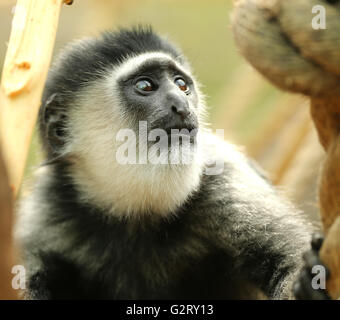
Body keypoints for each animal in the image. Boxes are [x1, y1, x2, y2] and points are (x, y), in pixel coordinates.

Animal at [16, 27, 326, 300]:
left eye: (181, 85)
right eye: (145, 86)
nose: (181, 105)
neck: (135, 212)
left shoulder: (227, 186)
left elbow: (288, 258)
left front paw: (309, 280)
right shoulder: (41, 222)